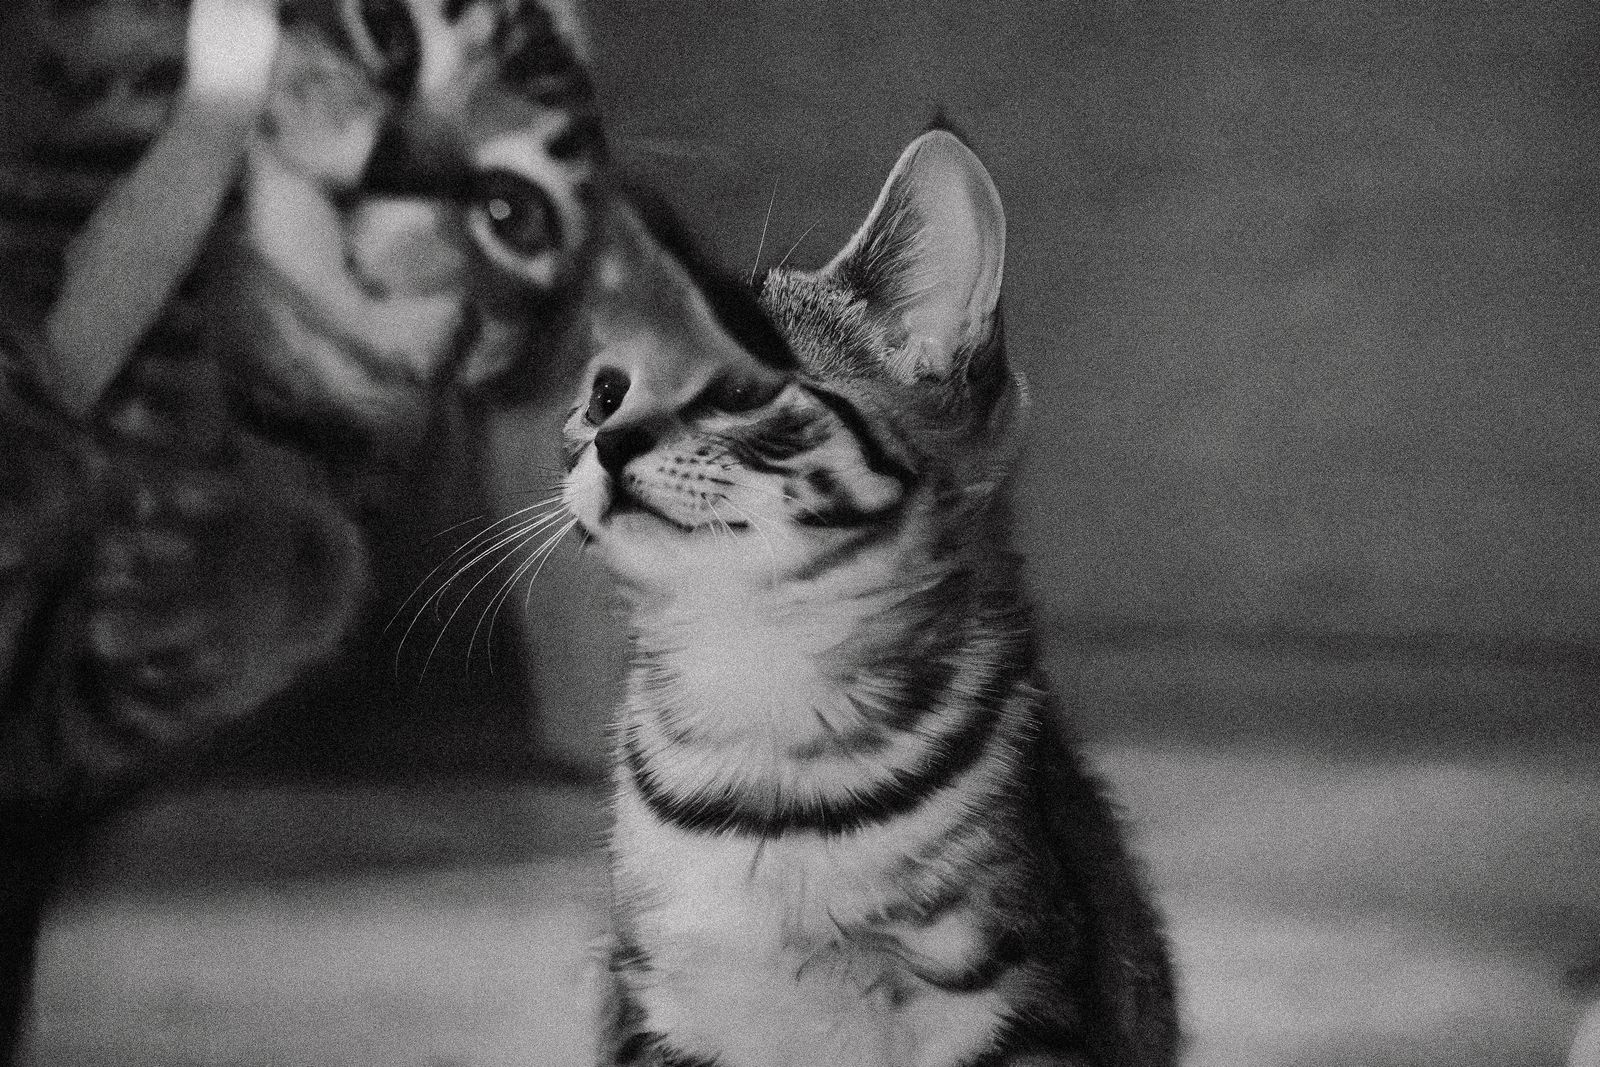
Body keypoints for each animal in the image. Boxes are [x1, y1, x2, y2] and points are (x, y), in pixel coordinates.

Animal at [0, 0, 608, 1059]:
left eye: (509, 212)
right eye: (391, 37)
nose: (388, 165)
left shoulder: (52, 743)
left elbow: (323, 561)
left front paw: (205, 581)